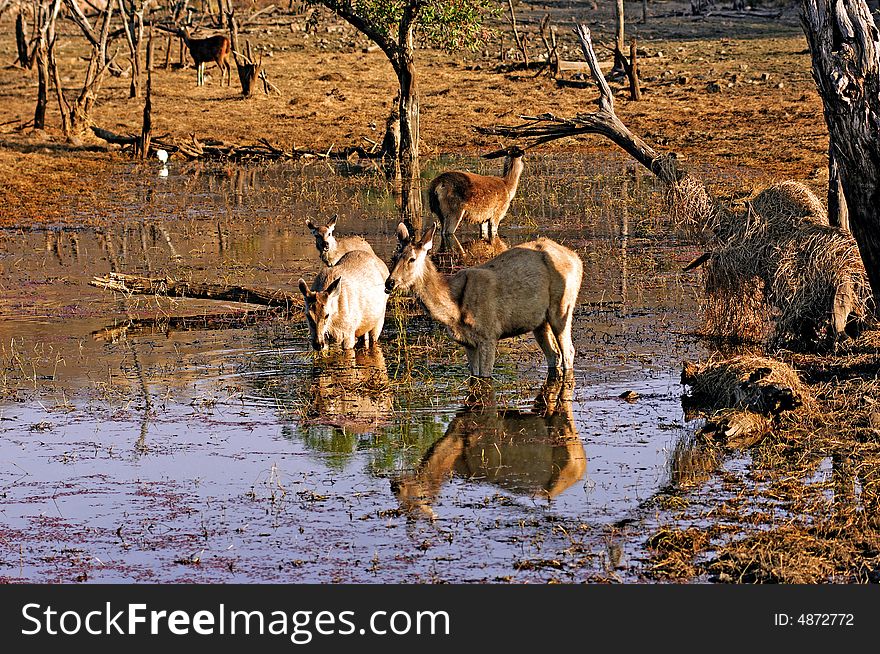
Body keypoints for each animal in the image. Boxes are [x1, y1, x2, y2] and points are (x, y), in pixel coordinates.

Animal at [384, 224, 584, 380]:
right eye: (395, 257)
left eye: (412, 259)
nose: (389, 283)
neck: (454, 310)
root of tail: (577, 259)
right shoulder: (467, 343)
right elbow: (475, 376)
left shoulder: (489, 333)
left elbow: (486, 377)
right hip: (540, 322)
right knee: (553, 355)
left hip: (563, 306)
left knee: (568, 352)